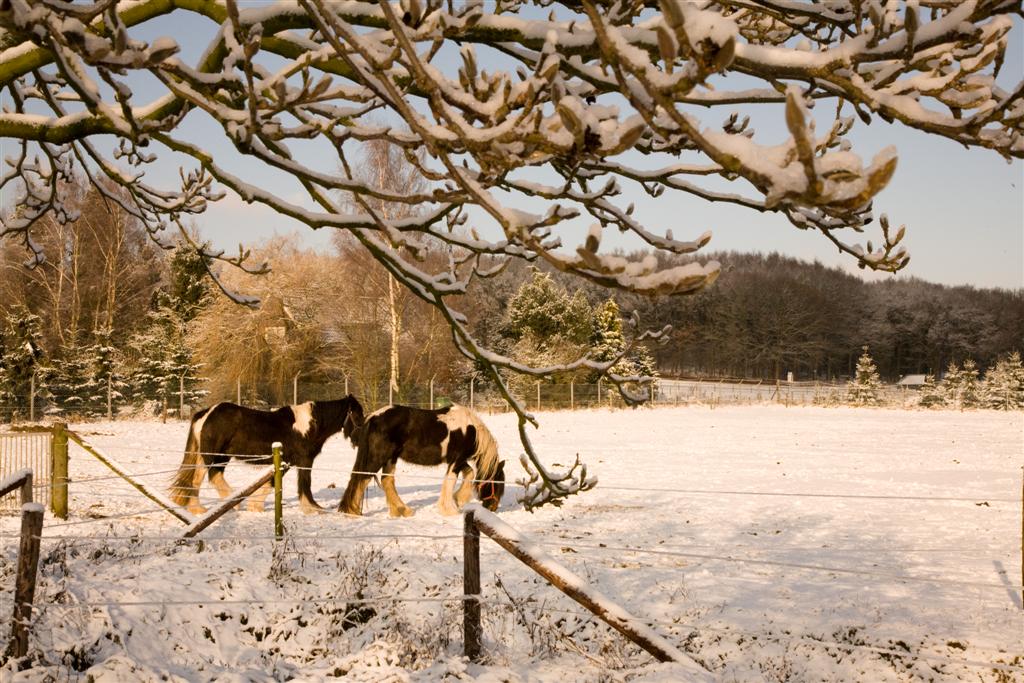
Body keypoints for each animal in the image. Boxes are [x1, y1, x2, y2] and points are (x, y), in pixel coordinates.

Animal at [165, 397, 362, 516]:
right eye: (357, 414)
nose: (359, 439)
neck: (308, 426)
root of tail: (205, 413)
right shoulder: (303, 461)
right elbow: (304, 484)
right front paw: (312, 508)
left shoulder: (286, 462)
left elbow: (270, 483)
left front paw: (255, 506)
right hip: (216, 456)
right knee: (212, 476)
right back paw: (232, 503)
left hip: (210, 456)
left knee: (197, 479)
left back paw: (198, 509)